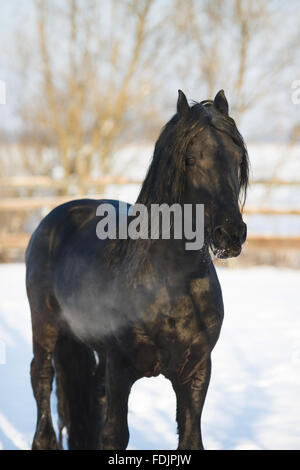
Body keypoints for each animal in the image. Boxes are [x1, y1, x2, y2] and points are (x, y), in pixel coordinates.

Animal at [26, 89, 248, 452]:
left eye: (238, 159)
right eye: (190, 159)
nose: (230, 234)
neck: (171, 285)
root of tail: (55, 217)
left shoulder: (196, 371)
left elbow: (190, 437)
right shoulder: (120, 368)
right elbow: (115, 435)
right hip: (45, 325)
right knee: (42, 381)